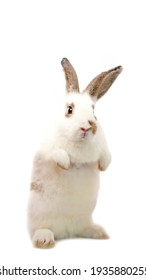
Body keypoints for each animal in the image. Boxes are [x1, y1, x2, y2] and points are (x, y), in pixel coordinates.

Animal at [27, 58, 122, 248]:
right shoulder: (47, 149)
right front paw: (66, 164)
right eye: (69, 110)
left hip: (83, 220)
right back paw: (44, 239)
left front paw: (102, 166)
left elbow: (107, 155)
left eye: (93, 111)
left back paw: (99, 233)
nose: (86, 127)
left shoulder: (104, 146)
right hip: (39, 216)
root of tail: (67, 232)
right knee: (40, 230)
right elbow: (57, 153)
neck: (80, 142)